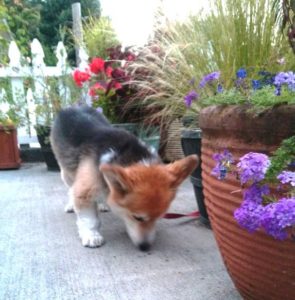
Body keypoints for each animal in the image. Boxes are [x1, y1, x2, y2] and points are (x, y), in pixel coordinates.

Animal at [51, 105, 199, 251]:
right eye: (137, 217)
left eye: (159, 217)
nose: (145, 247)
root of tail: (74, 106)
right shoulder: (85, 191)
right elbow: (89, 219)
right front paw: (91, 235)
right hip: (66, 173)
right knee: (71, 188)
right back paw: (71, 205)